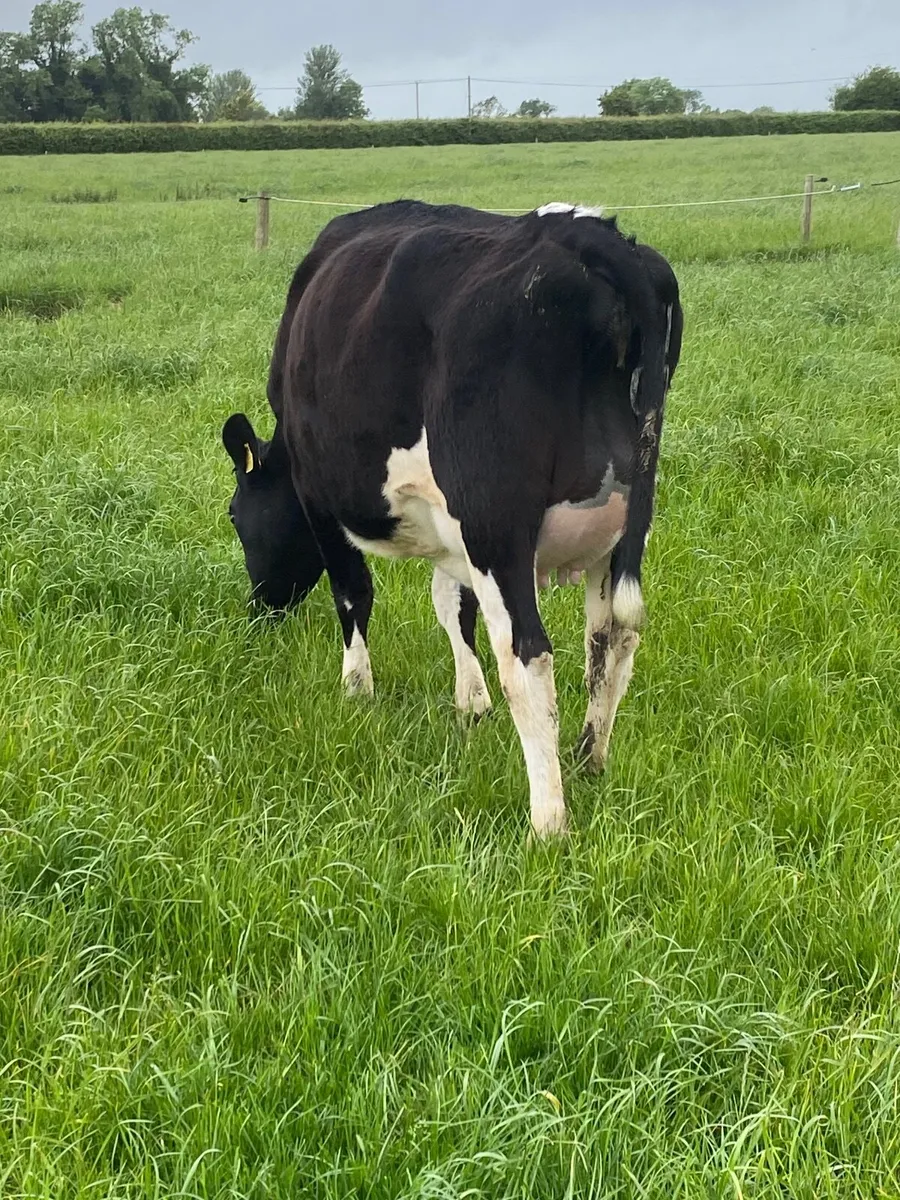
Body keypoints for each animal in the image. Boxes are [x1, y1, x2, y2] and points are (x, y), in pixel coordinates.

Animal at [221, 199, 683, 838]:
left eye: (236, 517)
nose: (259, 609)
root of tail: (588, 234)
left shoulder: (323, 499)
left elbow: (353, 593)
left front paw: (356, 690)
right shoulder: (449, 525)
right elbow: (450, 603)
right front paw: (471, 700)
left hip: (495, 521)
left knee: (529, 655)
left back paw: (548, 821)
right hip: (618, 528)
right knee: (611, 639)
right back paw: (589, 762)